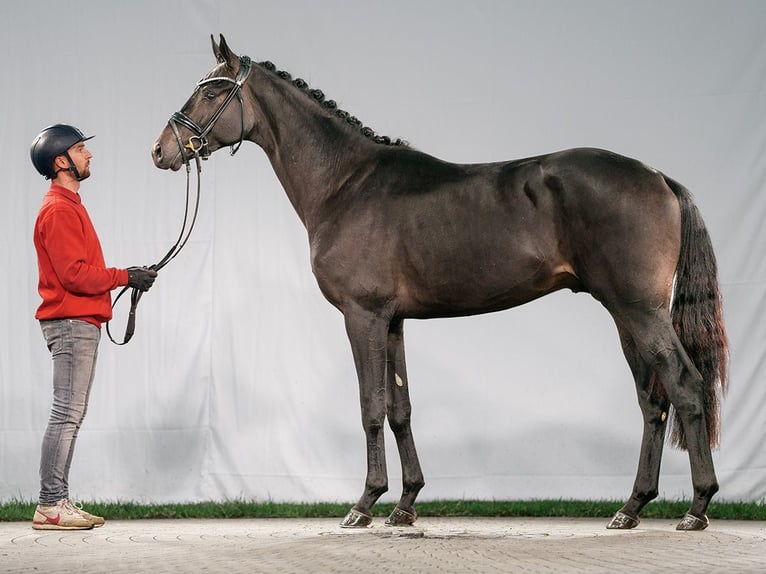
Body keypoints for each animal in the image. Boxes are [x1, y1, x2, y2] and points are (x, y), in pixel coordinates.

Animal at [152, 35, 732, 532]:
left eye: (211, 91)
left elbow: (369, 406)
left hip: (639, 311)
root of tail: (657, 176)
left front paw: (364, 505)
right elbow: (399, 408)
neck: (346, 184)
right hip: (625, 315)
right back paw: (630, 508)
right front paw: (405, 504)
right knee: (653, 401)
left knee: (685, 386)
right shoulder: (392, 321)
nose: (161, 150)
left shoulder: (362, 316)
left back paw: (697, 508)